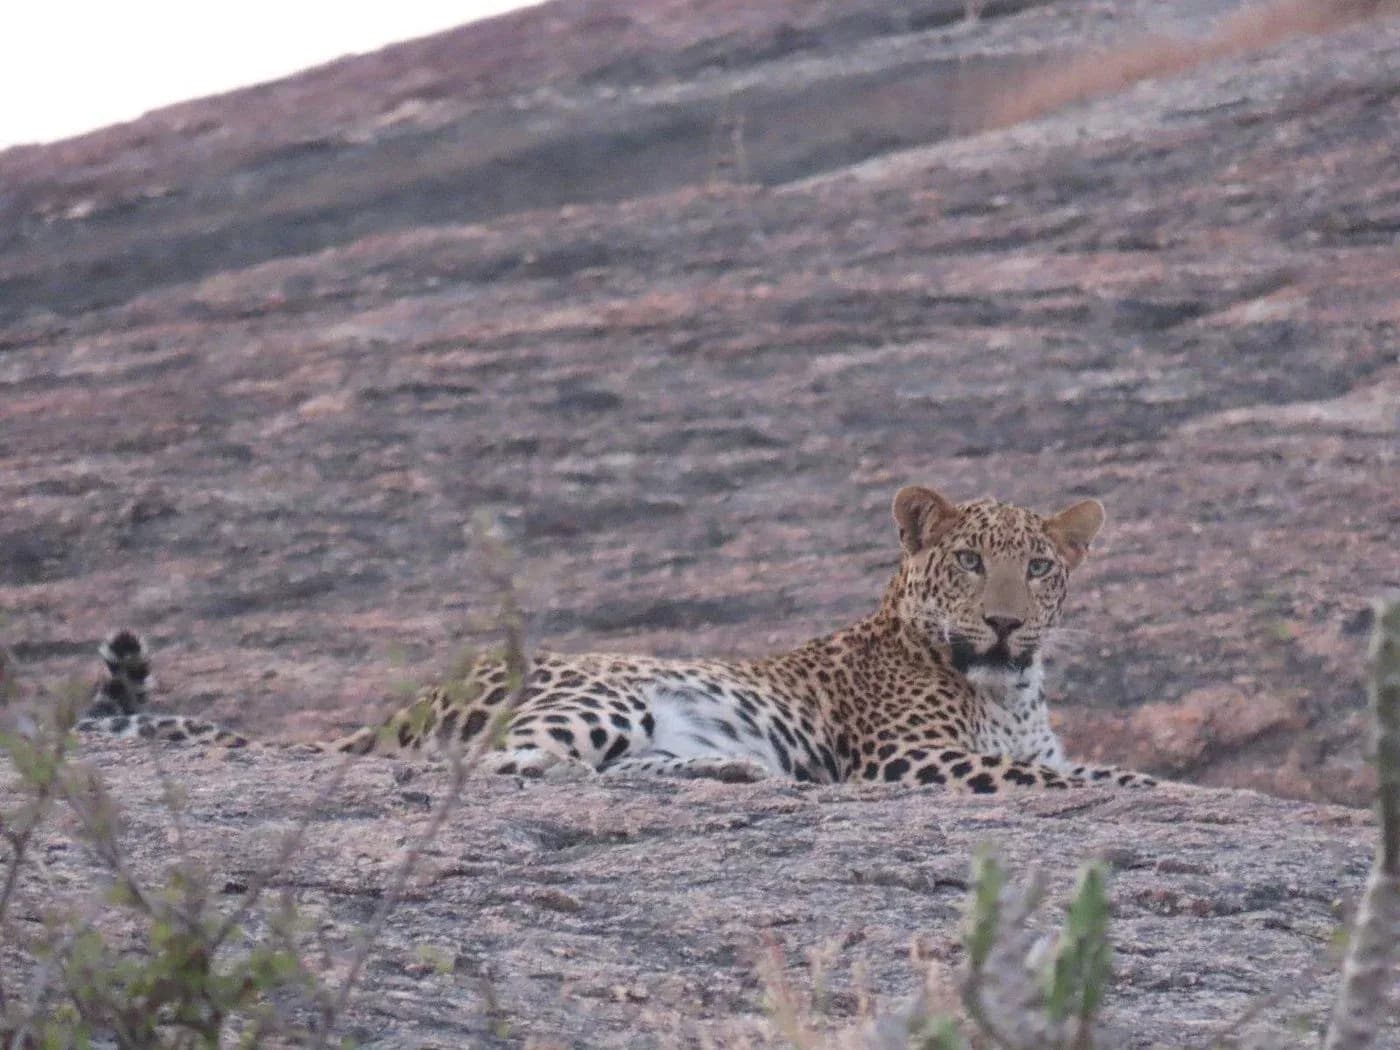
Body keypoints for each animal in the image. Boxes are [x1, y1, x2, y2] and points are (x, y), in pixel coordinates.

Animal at [79, 485, 1155, 792]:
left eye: (1040, 567)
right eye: (969, 561)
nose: (1006, 622)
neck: (1006, 688)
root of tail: (416, 696)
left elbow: (1080, 768)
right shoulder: (908, 760)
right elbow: (1070, 777)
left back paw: (734, 774)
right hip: (601, 692)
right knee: (502, 767)